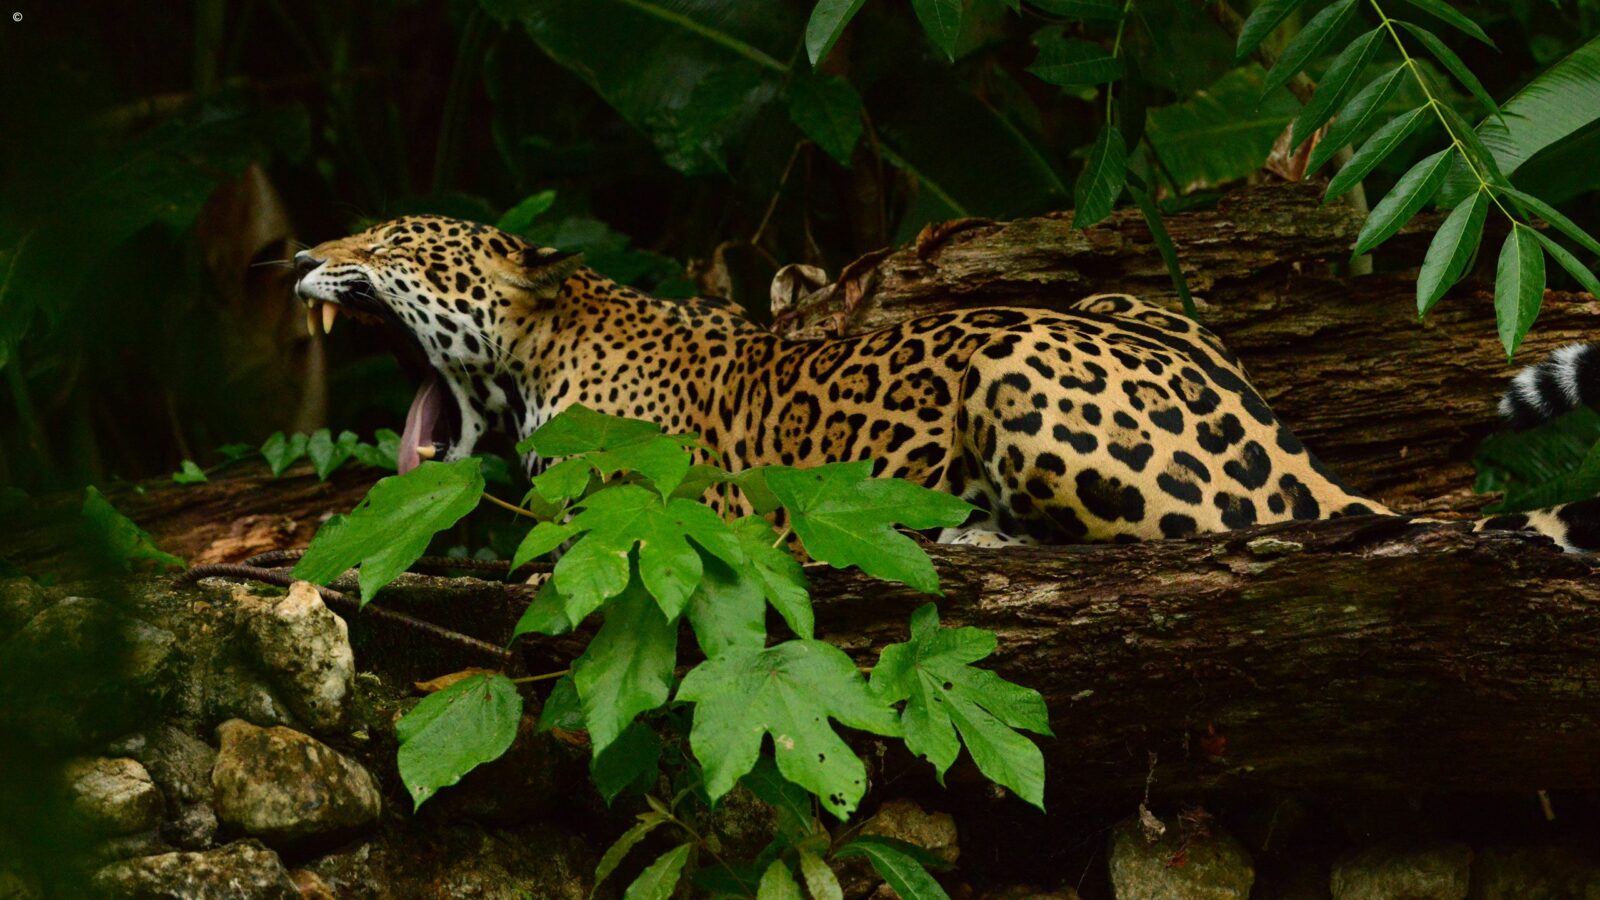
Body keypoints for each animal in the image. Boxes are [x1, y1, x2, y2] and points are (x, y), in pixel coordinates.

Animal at [291, 214, 1598, 551]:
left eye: (395, 245)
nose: (304, 257)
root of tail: (1290, 451)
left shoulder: (674, 507)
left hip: (1015, 367)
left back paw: (974, 533)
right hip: (1120, 301)